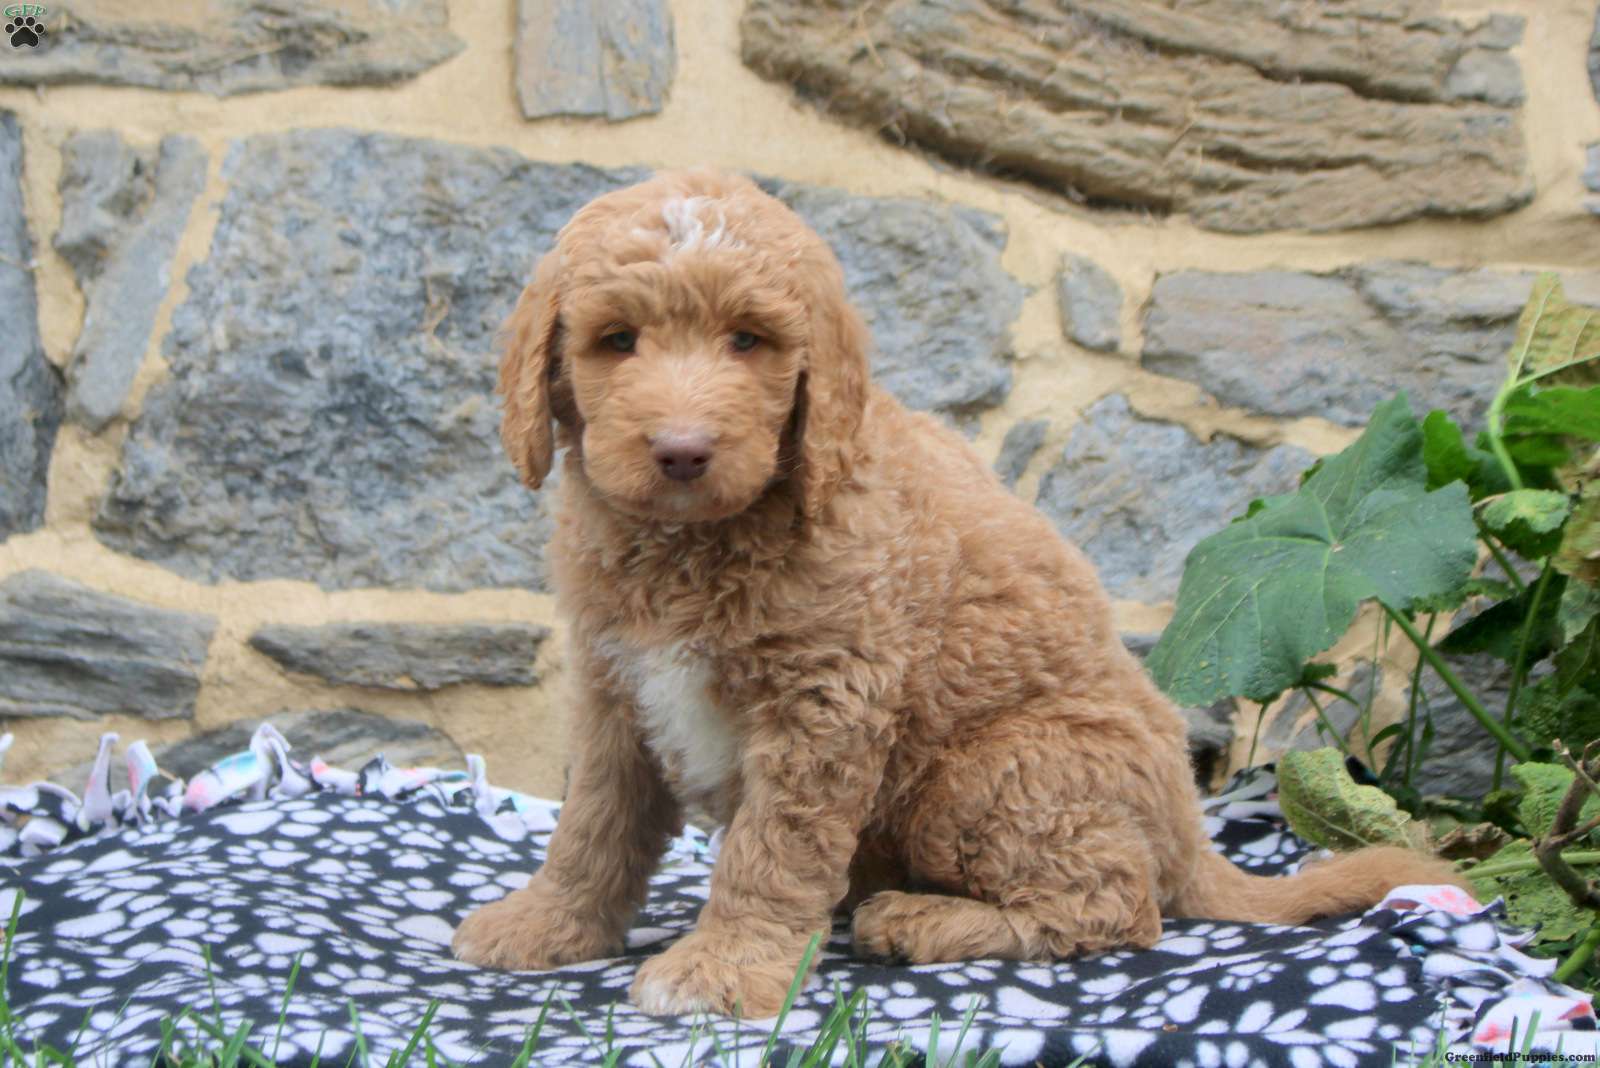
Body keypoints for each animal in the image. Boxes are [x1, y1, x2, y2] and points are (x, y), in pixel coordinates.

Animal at [450, 169, 1465, 1018]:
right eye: (616, 342)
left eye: (748, 341)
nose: (682, 451)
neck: (693, 547)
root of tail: (1188, 829)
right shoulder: (617, 686)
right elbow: (593, 824)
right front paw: (548, 924)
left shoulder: (826, 702)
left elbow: (771, 849)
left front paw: (722, 968)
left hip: (989, 774)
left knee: (1116, 906)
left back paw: (921, 920)